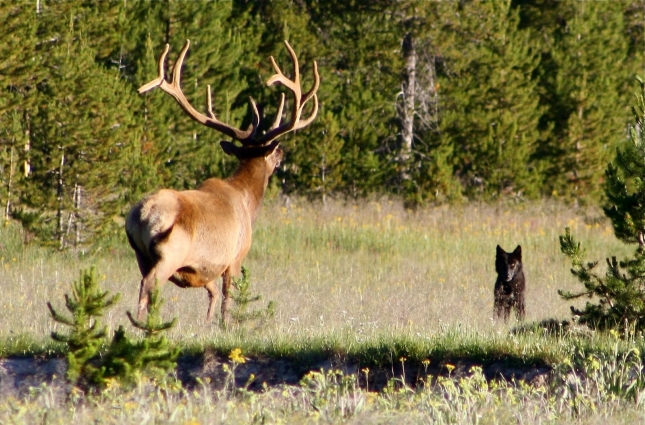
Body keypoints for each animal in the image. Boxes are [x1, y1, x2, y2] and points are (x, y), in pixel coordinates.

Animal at [125, 41, 320, 322]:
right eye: (273, 152)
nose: (283, 152)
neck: (248, 202)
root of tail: (141, 215)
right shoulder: (235, 257)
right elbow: (229, 301)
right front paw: (227, 325)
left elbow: (213, 295)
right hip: (169, 253)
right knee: (149, 286)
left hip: (140, 255)